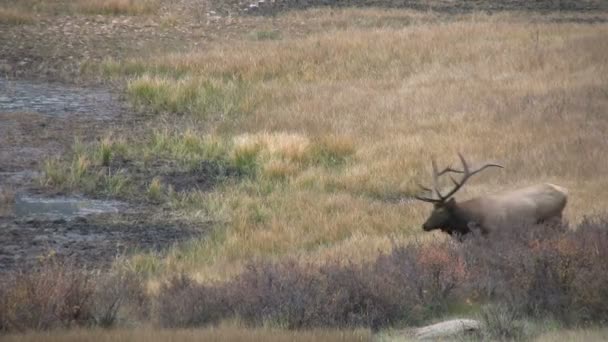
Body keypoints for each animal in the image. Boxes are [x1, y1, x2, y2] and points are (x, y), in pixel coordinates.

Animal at [416, 154, 568, 236]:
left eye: (441, 211)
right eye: (431, 210)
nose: (424, 225)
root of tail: (565, 191)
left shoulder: (494, 232)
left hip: (553, 219)